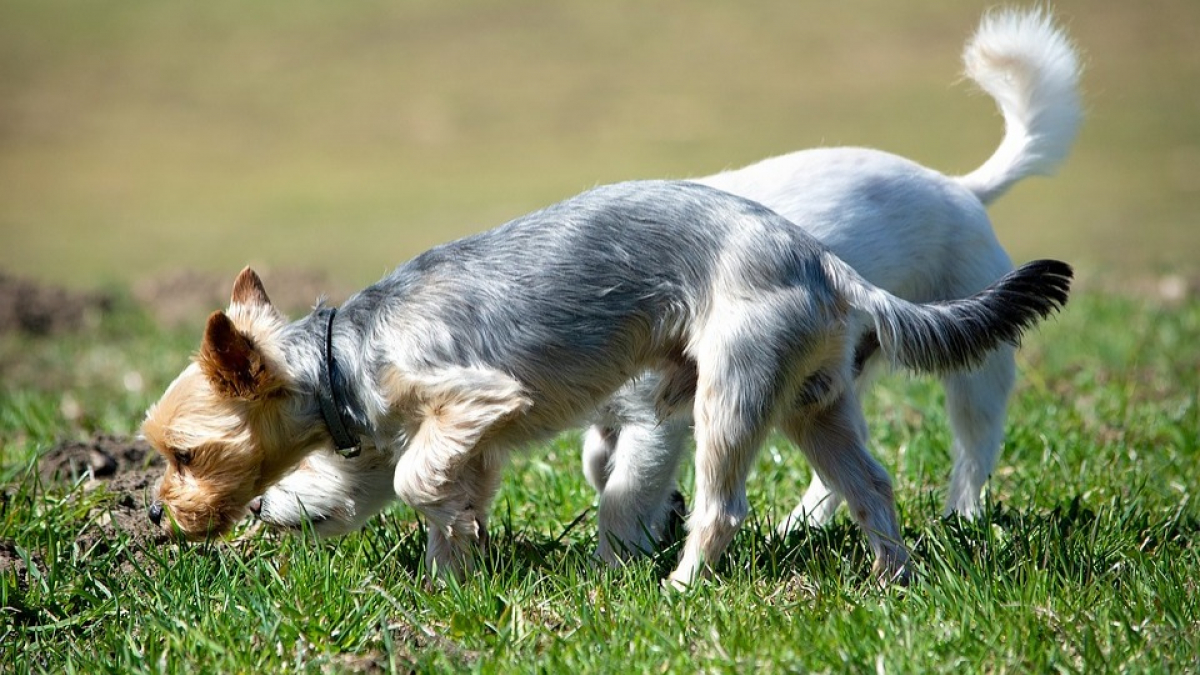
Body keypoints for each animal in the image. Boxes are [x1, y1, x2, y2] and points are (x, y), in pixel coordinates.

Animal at [145, 177, 1075, 583]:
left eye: (184, 453)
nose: (157, 513)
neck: (345, 353)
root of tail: (824, 263)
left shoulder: (479, 395)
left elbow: (415, 479)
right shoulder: (462, 436)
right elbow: (444, 498)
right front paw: (450, 578)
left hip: (730, 391)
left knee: (721, 507)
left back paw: (680, 586)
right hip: (817, 404)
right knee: (873, 486)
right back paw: (893, 580)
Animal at [250, 6, 1080, 562]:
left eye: (316, 445)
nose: (253, 504)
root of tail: (963, 187)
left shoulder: (657, 417)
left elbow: (621, 491)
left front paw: (617, 558)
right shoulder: (616, 415)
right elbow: (600, 464)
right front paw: (652, 519)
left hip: (956, 377)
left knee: (970, 450)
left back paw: (953, 517)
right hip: (826, 388)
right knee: (855, 477)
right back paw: (826, 535)